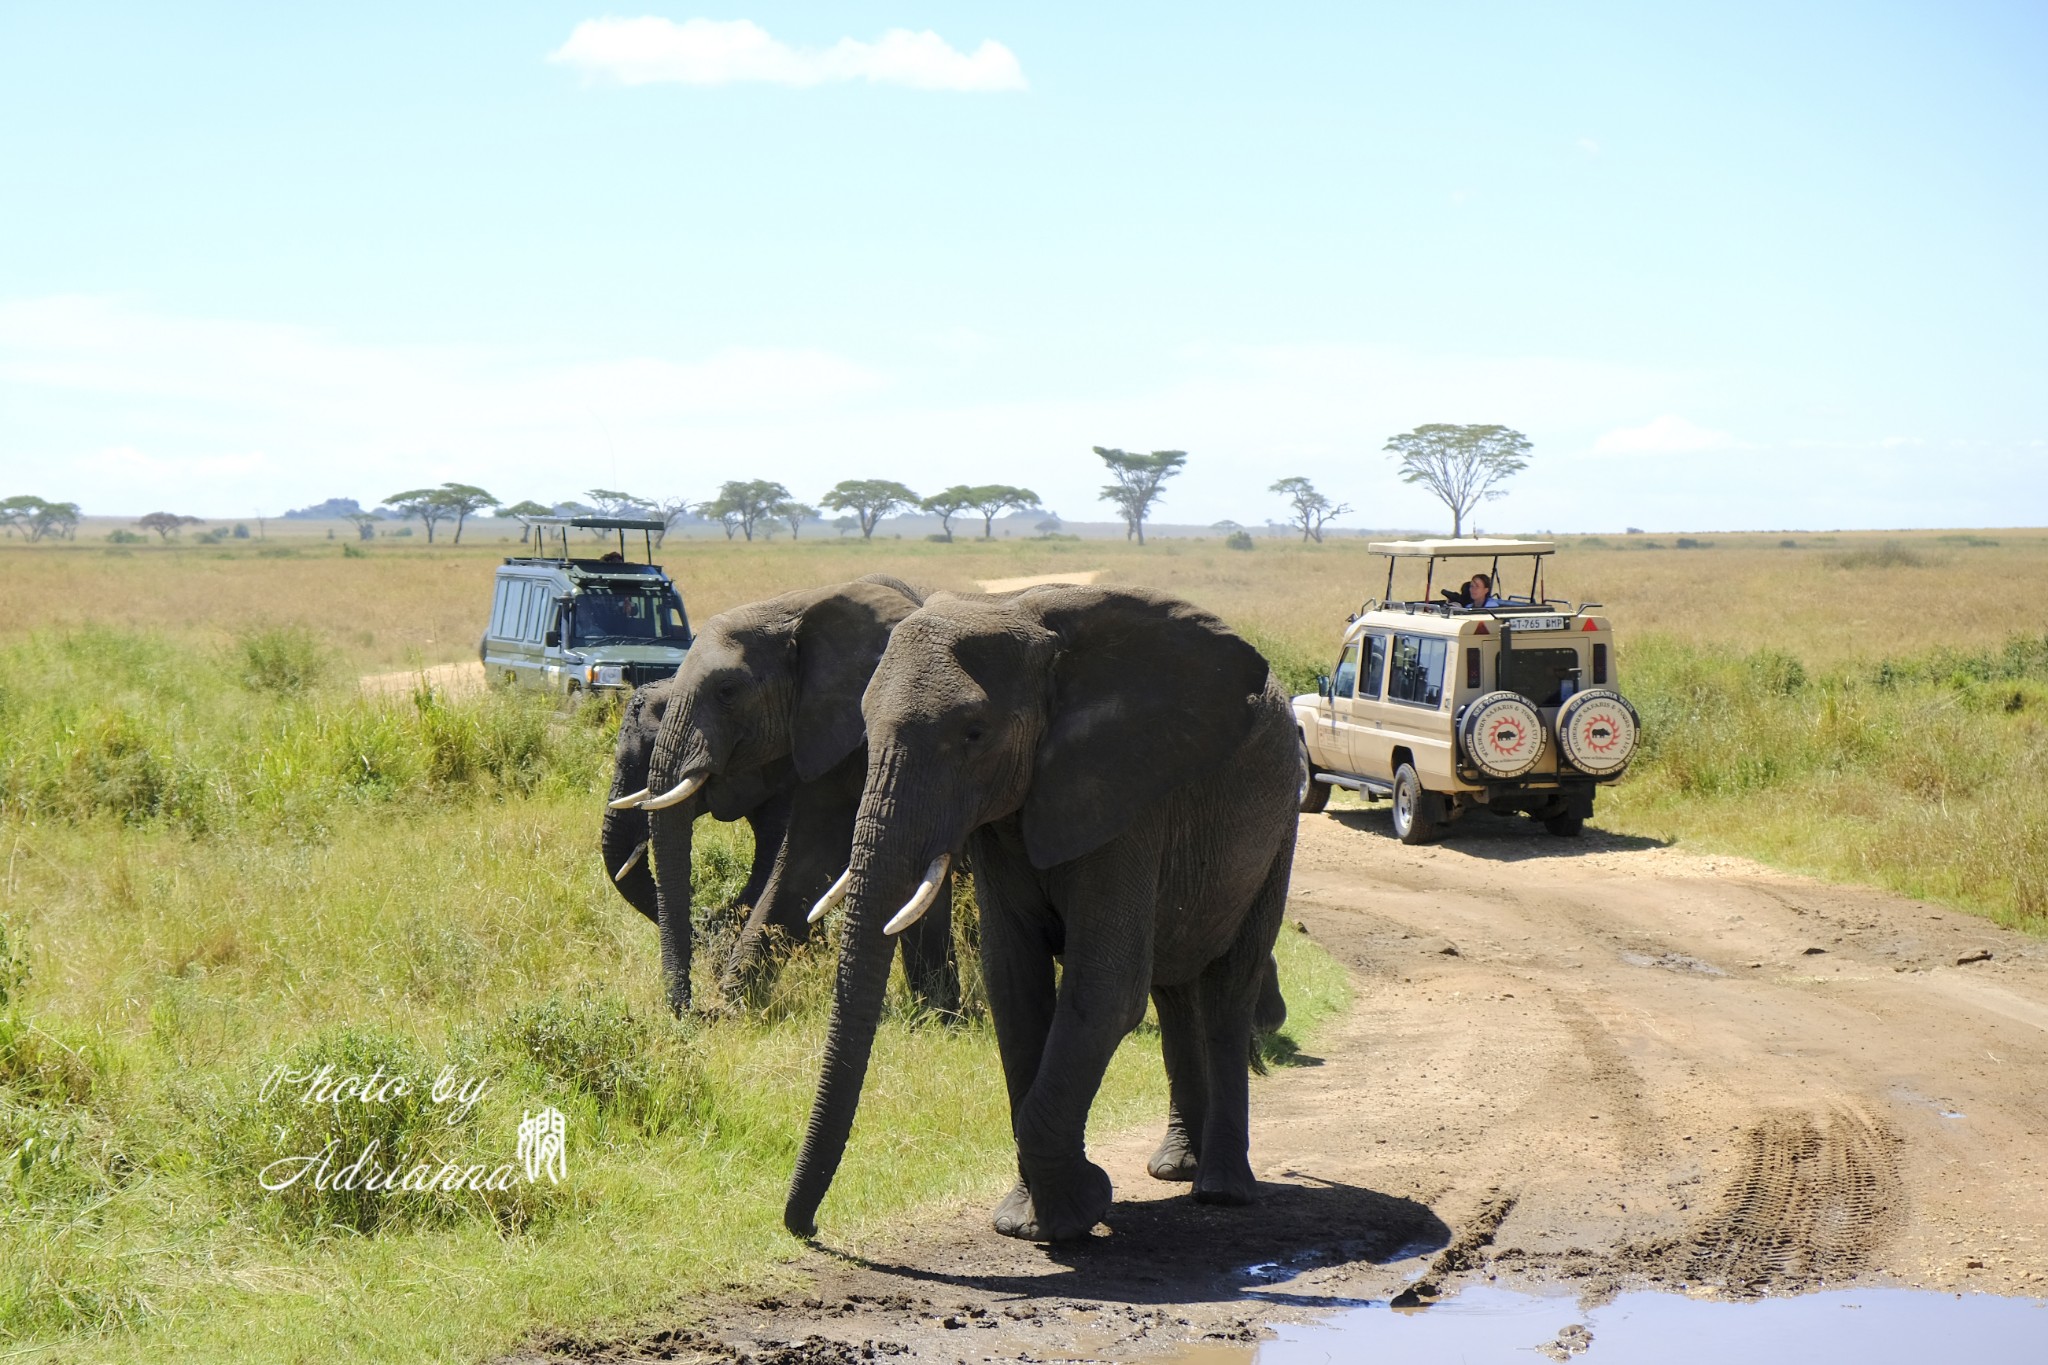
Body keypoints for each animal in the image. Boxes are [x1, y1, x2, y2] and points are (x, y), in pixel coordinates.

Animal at [602, 573, 962, 1015]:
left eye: (727, 691)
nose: (691, 1009)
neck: (794, 606)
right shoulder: (822, 738)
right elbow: (805, 860)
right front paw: (733, 1007)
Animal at [782, 581, 1294, 1244]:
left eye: (974, 733)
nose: (809, 1228)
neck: (1022, 616)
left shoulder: (1126, 799)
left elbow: (1104, 991)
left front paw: (1081, 1206)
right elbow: (1014, 984)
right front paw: (1029, 1222)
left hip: (1280, 826)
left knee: (1230, 988)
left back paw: (1221, 1191)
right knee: (1174, 994)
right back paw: (1174, 1169)